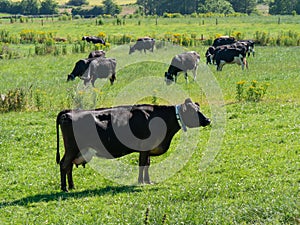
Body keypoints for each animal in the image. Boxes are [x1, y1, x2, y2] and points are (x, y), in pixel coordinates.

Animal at [56, 98, 211, 192]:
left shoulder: (147, 149)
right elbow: (142, 164)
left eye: (199, 109)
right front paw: (141, 182)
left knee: (68, 166)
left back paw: (72, 186)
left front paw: (148, 181)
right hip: (72, 148)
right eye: (194, 111)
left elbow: (147, 164)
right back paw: (65, 188)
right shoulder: (144, 147)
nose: (208, 120)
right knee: (64, 164)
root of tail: (68, 112)